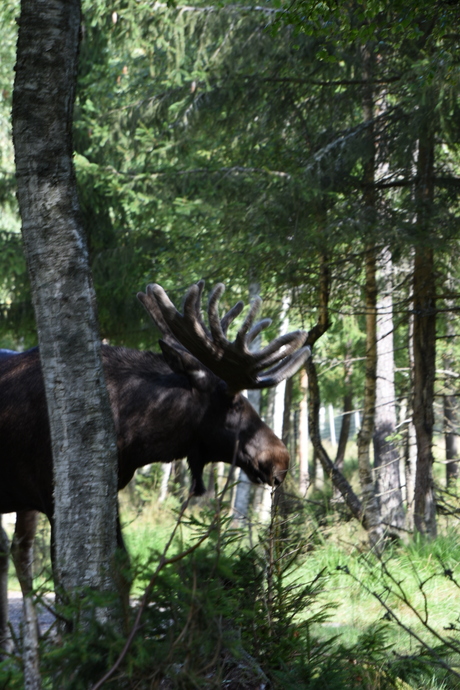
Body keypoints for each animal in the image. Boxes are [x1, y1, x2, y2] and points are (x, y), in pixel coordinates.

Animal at [0, 280, 310, 644]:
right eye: (232, 402)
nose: (280, 458)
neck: (133, 433)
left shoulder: (107, 488)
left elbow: (121, 569)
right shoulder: (53, 495)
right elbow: (68, 580)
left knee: (14, 553)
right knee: (20, 557)